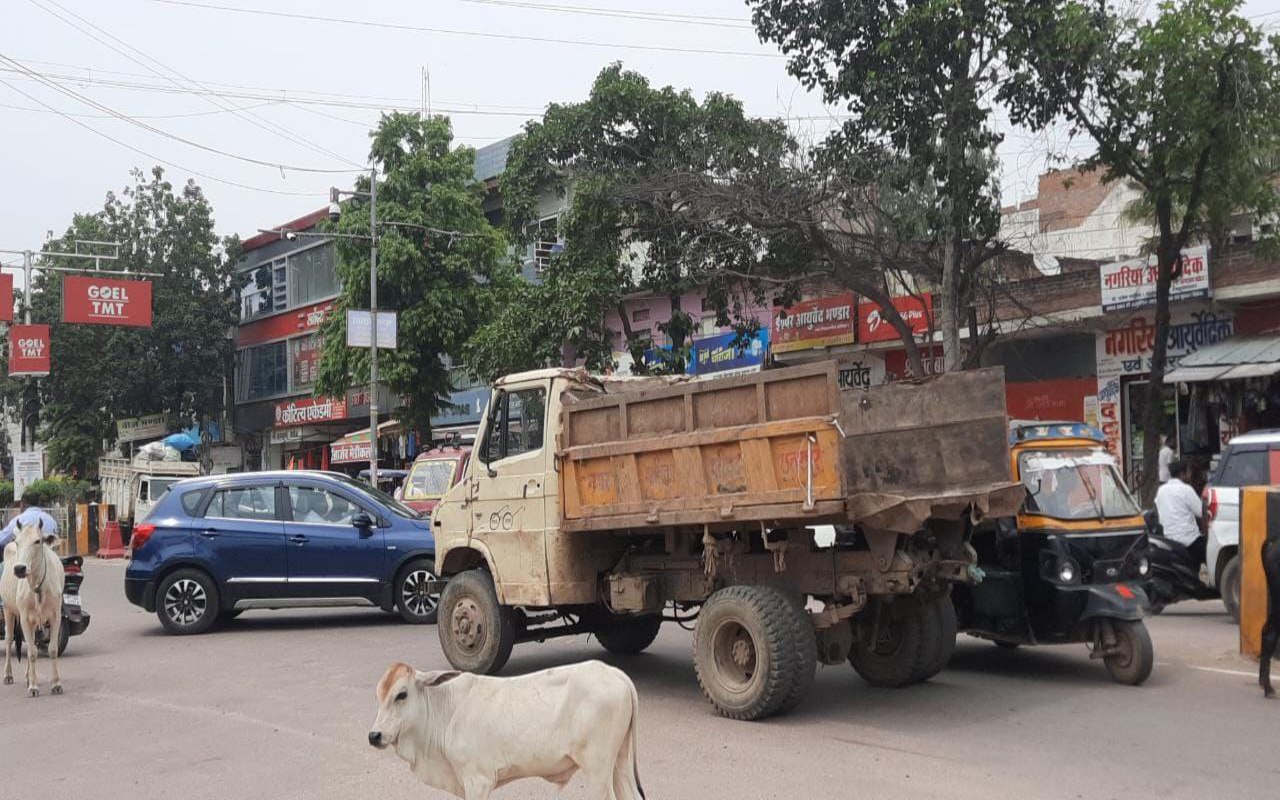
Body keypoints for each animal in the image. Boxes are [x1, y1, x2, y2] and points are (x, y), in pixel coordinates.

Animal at [1, 522, 65, 696]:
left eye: (37, 541)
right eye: (18, 542)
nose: (19, 569)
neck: (38, 586)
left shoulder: (56, 616)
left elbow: (52, 650)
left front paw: (56, 684)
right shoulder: (24, 617)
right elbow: (31, 652)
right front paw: (33, 687)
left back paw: (29, 676)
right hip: (8, 610)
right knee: (9, 640)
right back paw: (8, 675)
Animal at [371, 655, 650, 798]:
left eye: (401, 694)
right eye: (379, 695)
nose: (374, 735)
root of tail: (613, 672)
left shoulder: (478, 781)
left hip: (597, 768)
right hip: (618, 761)